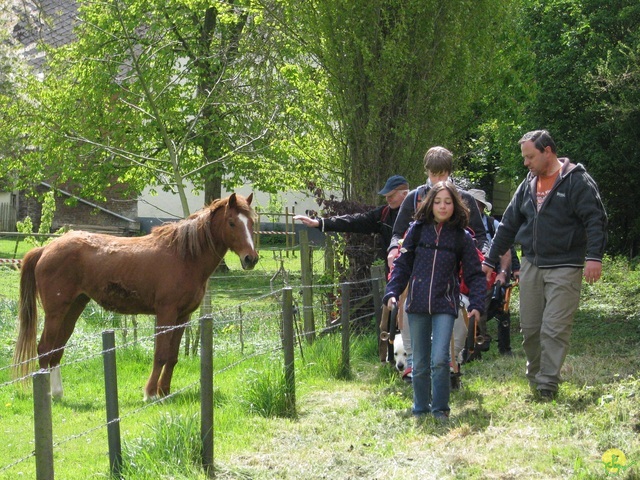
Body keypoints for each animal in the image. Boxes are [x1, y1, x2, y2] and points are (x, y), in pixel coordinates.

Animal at [12, 193, 258, 400]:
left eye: (252, 223)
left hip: (73, 308)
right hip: (56, 312)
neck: (184, 256)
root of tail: (46, 248)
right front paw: (150, 393)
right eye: (232, 222)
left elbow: (173, 356)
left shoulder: (183, 317)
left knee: (57, 349)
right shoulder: (166, 313)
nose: (251, 258)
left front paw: (165, 391)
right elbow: (160, 354)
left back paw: (57, 393)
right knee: (44, 349)